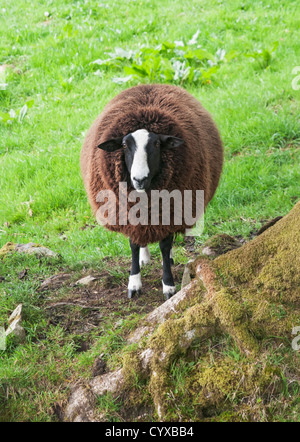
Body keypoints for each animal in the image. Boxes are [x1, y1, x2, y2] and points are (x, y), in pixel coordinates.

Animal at [79, 83, 223, 300]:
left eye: (156, 144)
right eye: (124, 145)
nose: (139, 179)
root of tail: (148, 84)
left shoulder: (171, 213)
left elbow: (165, 245)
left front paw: (168, 285)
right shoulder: (128, 216)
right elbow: (133, 245)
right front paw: (134, 283)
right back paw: (144, 257)